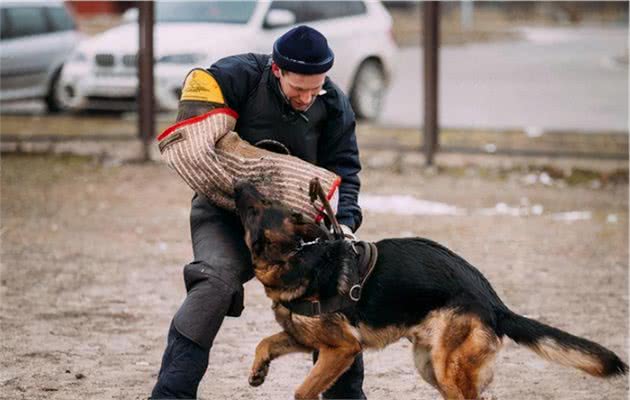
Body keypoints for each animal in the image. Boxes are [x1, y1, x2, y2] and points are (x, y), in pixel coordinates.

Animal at [235, 182, 628, 400]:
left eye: (259, 208)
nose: (240, 186)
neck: (300, 256)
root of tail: (493, 301)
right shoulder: (308, 340)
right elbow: (265, 342)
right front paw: (258, 371)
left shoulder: (342, 349)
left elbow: (303, 390)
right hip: (430, 365)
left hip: (446, 367)